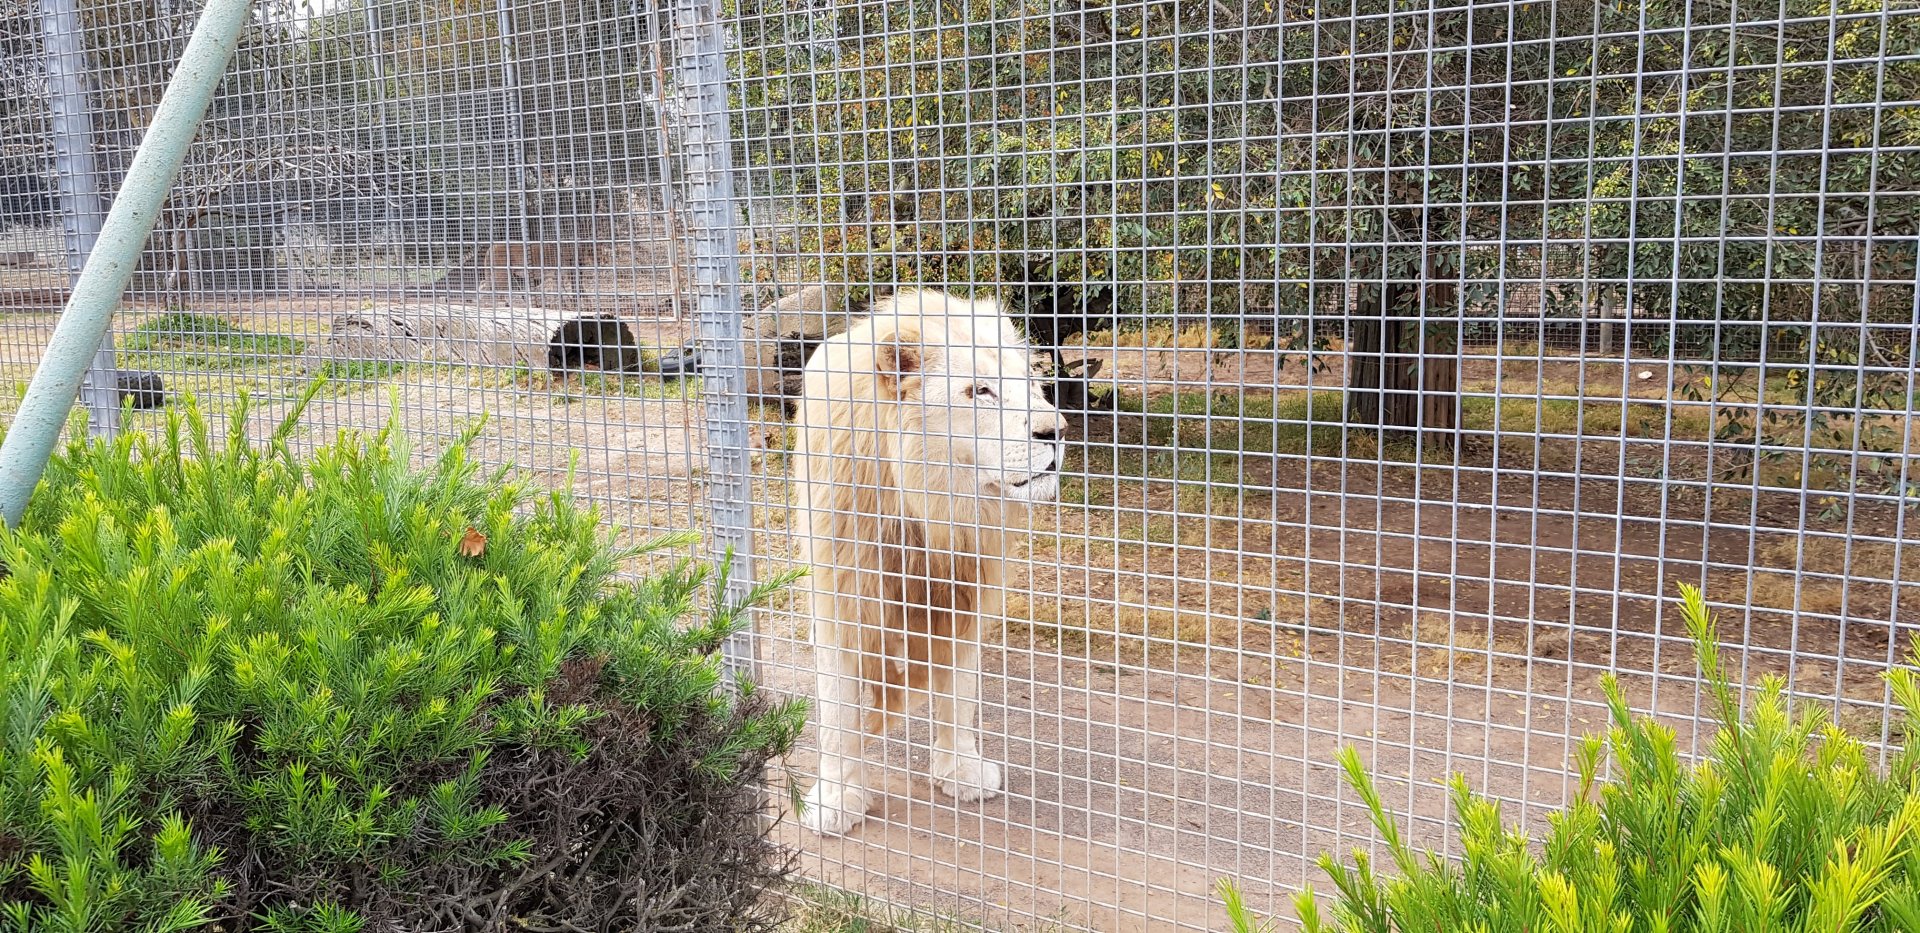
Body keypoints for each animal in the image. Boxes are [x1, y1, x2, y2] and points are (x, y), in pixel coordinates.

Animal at [793, 288, 1068, 836]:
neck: (927, 507)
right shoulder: (843, 597)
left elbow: (959, 700)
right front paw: (836, 801)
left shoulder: (963, 597)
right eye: (980, 391)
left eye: (1030, 382)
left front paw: (961, 773)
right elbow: (837, 718)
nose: (1059, 431)